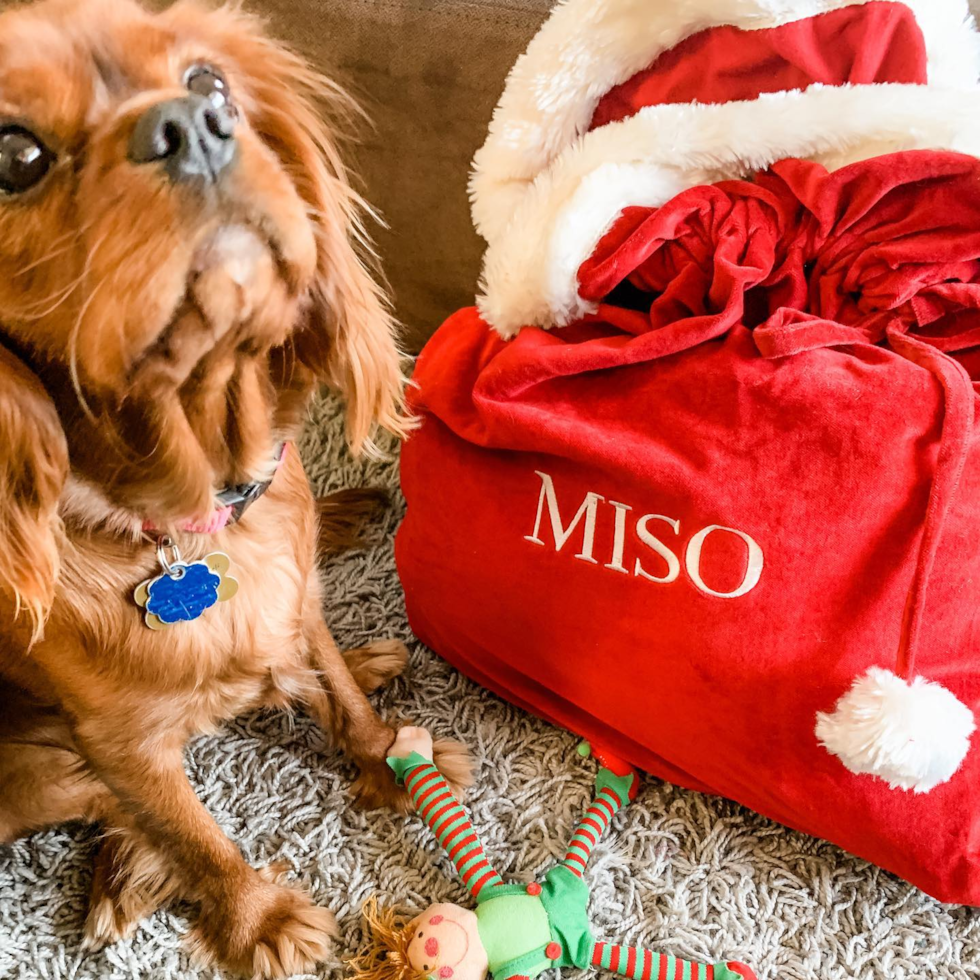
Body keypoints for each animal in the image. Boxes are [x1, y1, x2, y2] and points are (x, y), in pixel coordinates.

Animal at [0, 0, 470, 976]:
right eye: (14, 155)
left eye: (208, 79)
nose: (191, 126)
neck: (196, 522)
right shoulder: (120, 742)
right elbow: (189, 827)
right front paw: (257, 918)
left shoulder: (294, 595)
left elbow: (334, 686)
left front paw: (385, 757)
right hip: (26, 770)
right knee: (110, 803)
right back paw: (131, 871)